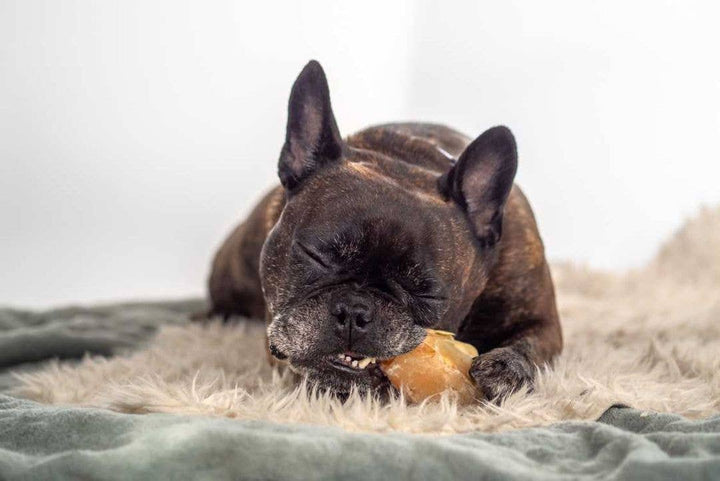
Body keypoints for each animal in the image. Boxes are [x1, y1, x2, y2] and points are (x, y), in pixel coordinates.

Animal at [204, 61, 564, 402]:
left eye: (427, 293)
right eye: (315, 256)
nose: (355, 310)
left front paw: (506, 369)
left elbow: (531, 345)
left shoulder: (543, 321)